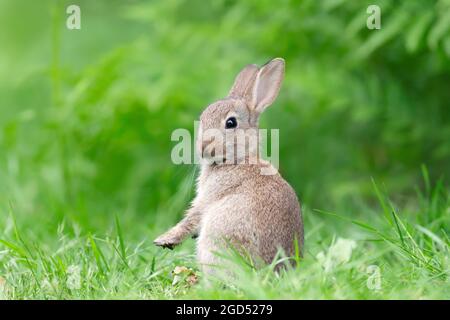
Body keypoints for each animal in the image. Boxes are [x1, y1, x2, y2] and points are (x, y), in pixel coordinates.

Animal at [153, 57, 304, 272]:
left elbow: (192, 218)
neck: (236, 159)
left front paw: (165, 240)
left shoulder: (209, 197)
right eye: (202, 119)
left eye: (231, 123)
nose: (203, 146)